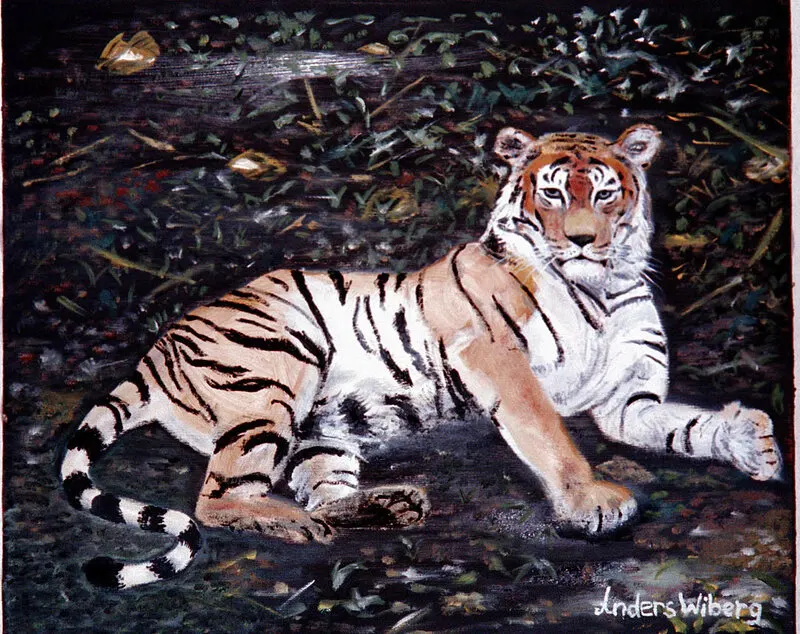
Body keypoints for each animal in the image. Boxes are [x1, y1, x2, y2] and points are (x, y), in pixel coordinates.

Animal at [60, 123, 783, 589]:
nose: (581, 241)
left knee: (317, 490)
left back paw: (389, 505)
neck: (602, 285)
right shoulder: (497, 356)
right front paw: (592, 502)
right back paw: (294, 526)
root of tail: (157, 347)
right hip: (276, 367)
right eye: (552, 192)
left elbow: (682, 424)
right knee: (219, 497)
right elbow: (550, 435)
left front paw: (754, 442)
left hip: (322, 431)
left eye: (606, 193)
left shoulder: (629, 400)